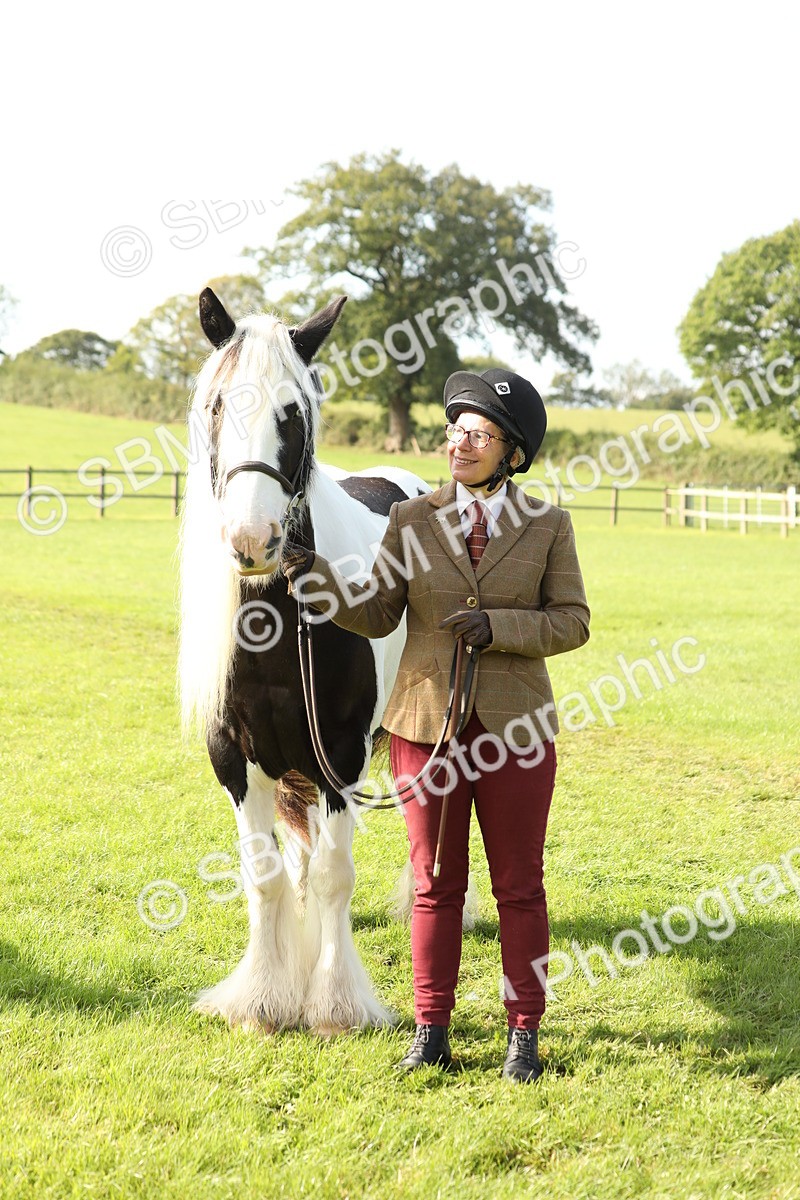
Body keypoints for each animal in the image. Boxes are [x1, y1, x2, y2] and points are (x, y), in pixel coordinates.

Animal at [177, 287, 432, 1035]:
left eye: (293, 412)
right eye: (216, 406)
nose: (251, 539)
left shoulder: (341, 756)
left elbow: (333, 875)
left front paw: (336, 1004)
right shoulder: (235, 759)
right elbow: (267, 876)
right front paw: (264, 1000)